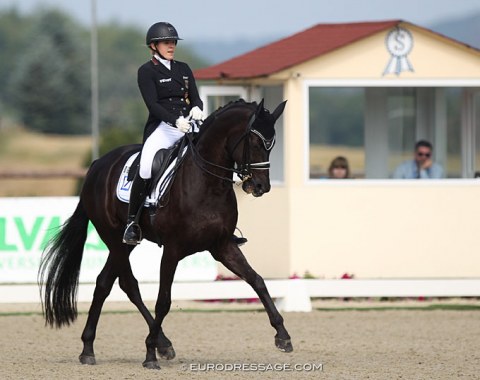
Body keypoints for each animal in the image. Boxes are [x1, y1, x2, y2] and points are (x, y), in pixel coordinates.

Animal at [37, 97, 290, 368]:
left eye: (272, 144)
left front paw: (282, 335)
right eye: (254, 142)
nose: (261, 186)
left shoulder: (222, 246)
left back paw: (99, 347)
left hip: (123, 244)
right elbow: (163, 301)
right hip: (114, 237)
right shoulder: (172, 250)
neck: (207, 184)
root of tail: (97, 165)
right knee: (127, 284)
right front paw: (149, 355)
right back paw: (141, 345)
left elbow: (257, 280)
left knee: (106, 282)